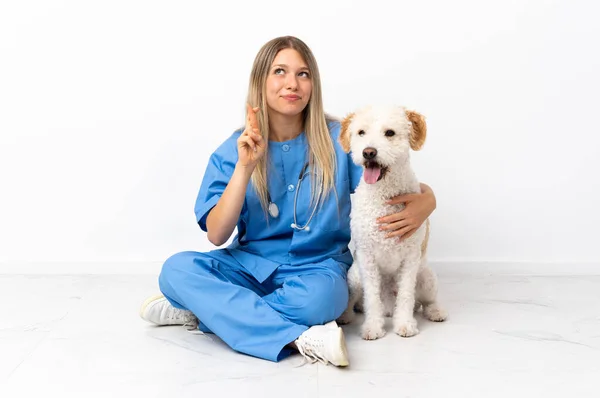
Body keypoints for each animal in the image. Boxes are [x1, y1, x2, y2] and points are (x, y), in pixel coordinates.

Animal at [338, 105, 446, 338]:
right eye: (361, 132)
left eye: (390, 133)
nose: (368, 152)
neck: (383, 196)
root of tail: (388, 307)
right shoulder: (367, 259)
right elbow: (371, 298)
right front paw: (373, 327)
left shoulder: (410, 258)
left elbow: (406, 295)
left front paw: (404, 324)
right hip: (354, 277)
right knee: (354, 301)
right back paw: (346, 316)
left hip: (426, 277)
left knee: (425, 301)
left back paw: (435, 311)